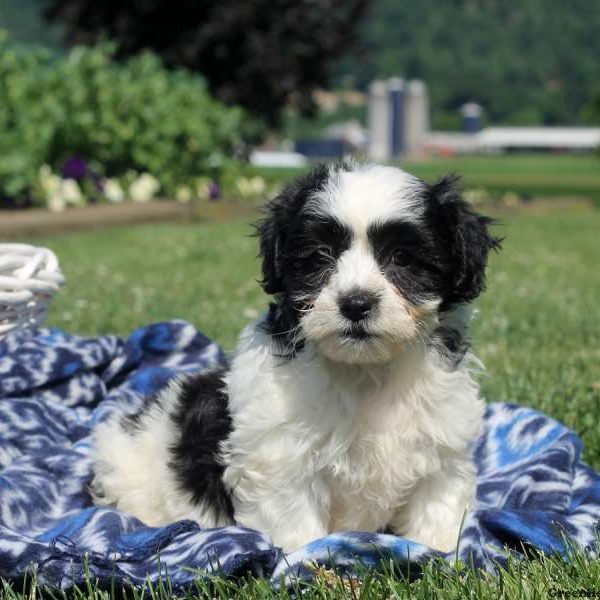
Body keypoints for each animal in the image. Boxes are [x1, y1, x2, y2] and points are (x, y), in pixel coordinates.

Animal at [91, 162, 500, 552]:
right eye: (320, 257)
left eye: (403, 258)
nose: (356, 303)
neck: (365, 369)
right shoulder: (280, 458)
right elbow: (294, 523)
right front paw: (308, 562)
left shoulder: (441, 449)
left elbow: (437, 507)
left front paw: (443, 553)